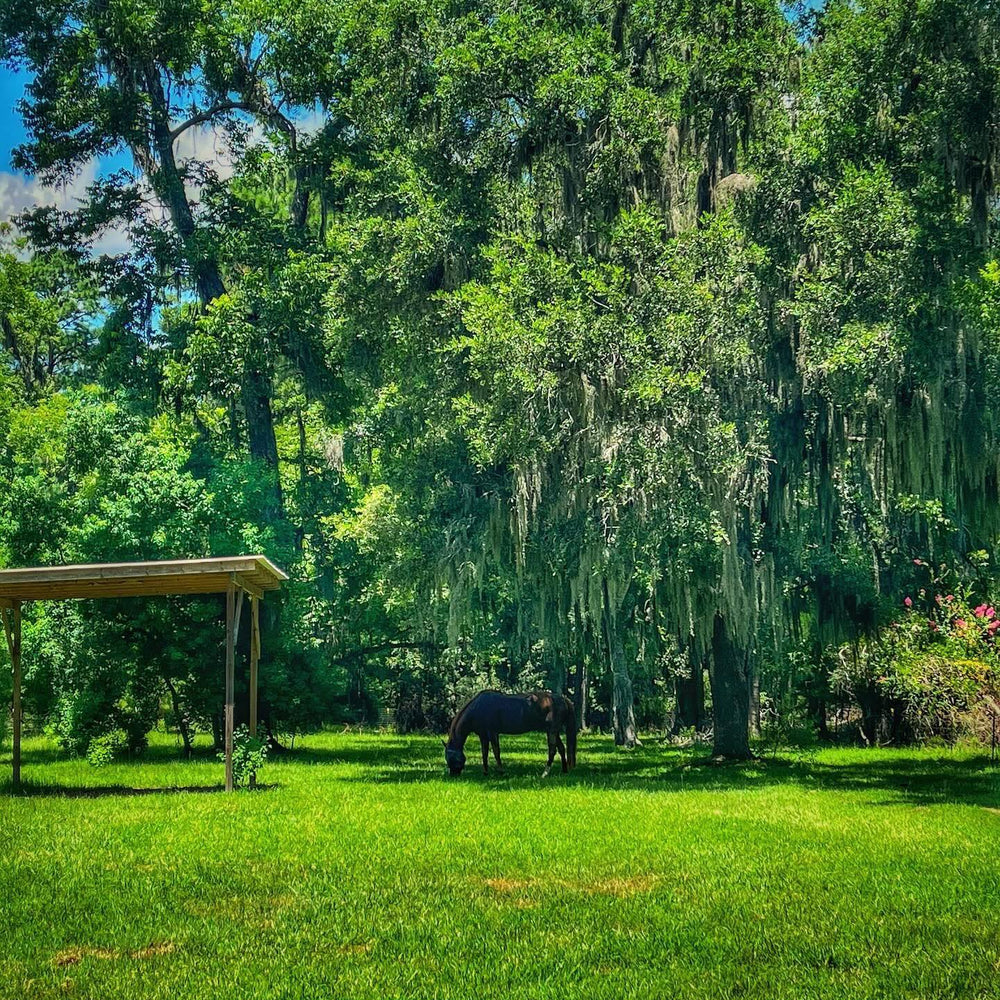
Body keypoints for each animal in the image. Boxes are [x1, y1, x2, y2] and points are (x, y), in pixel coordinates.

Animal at [443, 690, 577, 777]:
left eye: (451, 758)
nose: (453, 775)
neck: (478, 707)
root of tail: (563, 699)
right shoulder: (483, 735)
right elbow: (484, 753)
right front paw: (485, 772)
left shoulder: (492, 733)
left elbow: (496, 752)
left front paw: (501, 771)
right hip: (554, 731)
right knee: (561, 748)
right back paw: (564, 770)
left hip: (552, 731)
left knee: (552, 750)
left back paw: (545, 773)